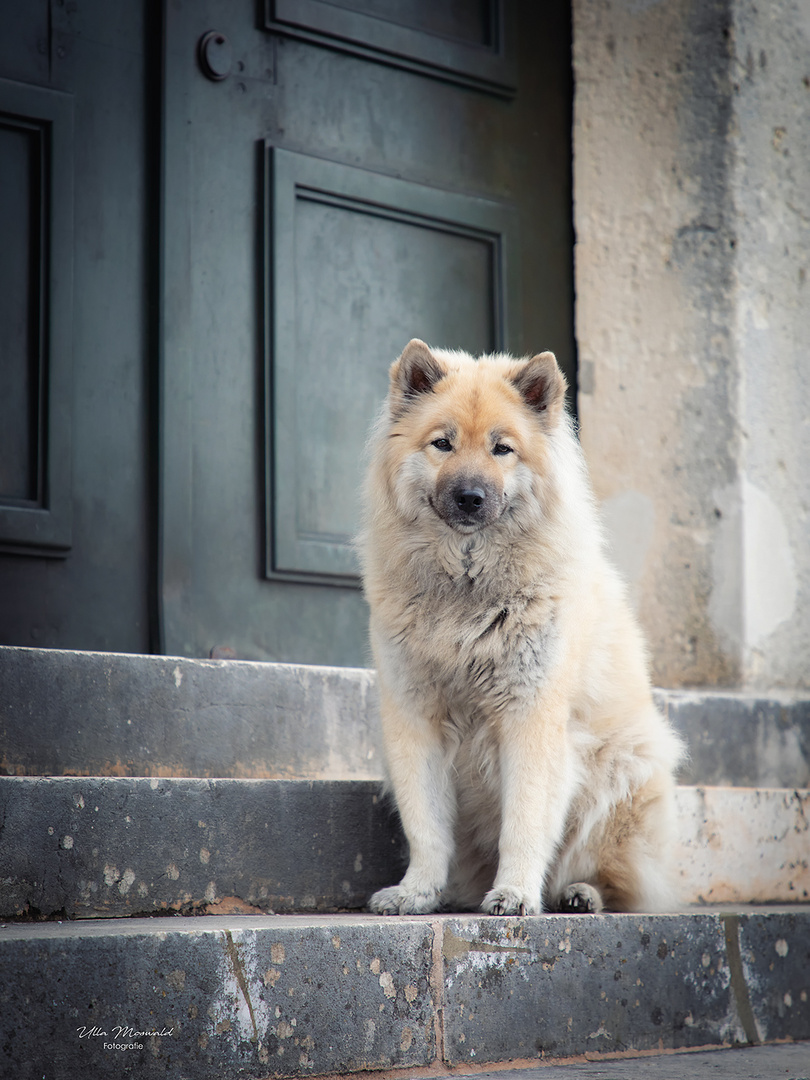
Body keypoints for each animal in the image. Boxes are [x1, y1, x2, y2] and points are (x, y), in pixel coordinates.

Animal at [360, 336, 686, 911]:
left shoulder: (530, 719)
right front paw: (416, 891)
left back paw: (582, 894)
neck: (467, 594)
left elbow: (526, 820)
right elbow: (425, 825)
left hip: (622, 767)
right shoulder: (415, 719)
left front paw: (513, 893)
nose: (469, 497)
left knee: (623, 883)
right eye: (442, 444)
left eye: (502, 449)